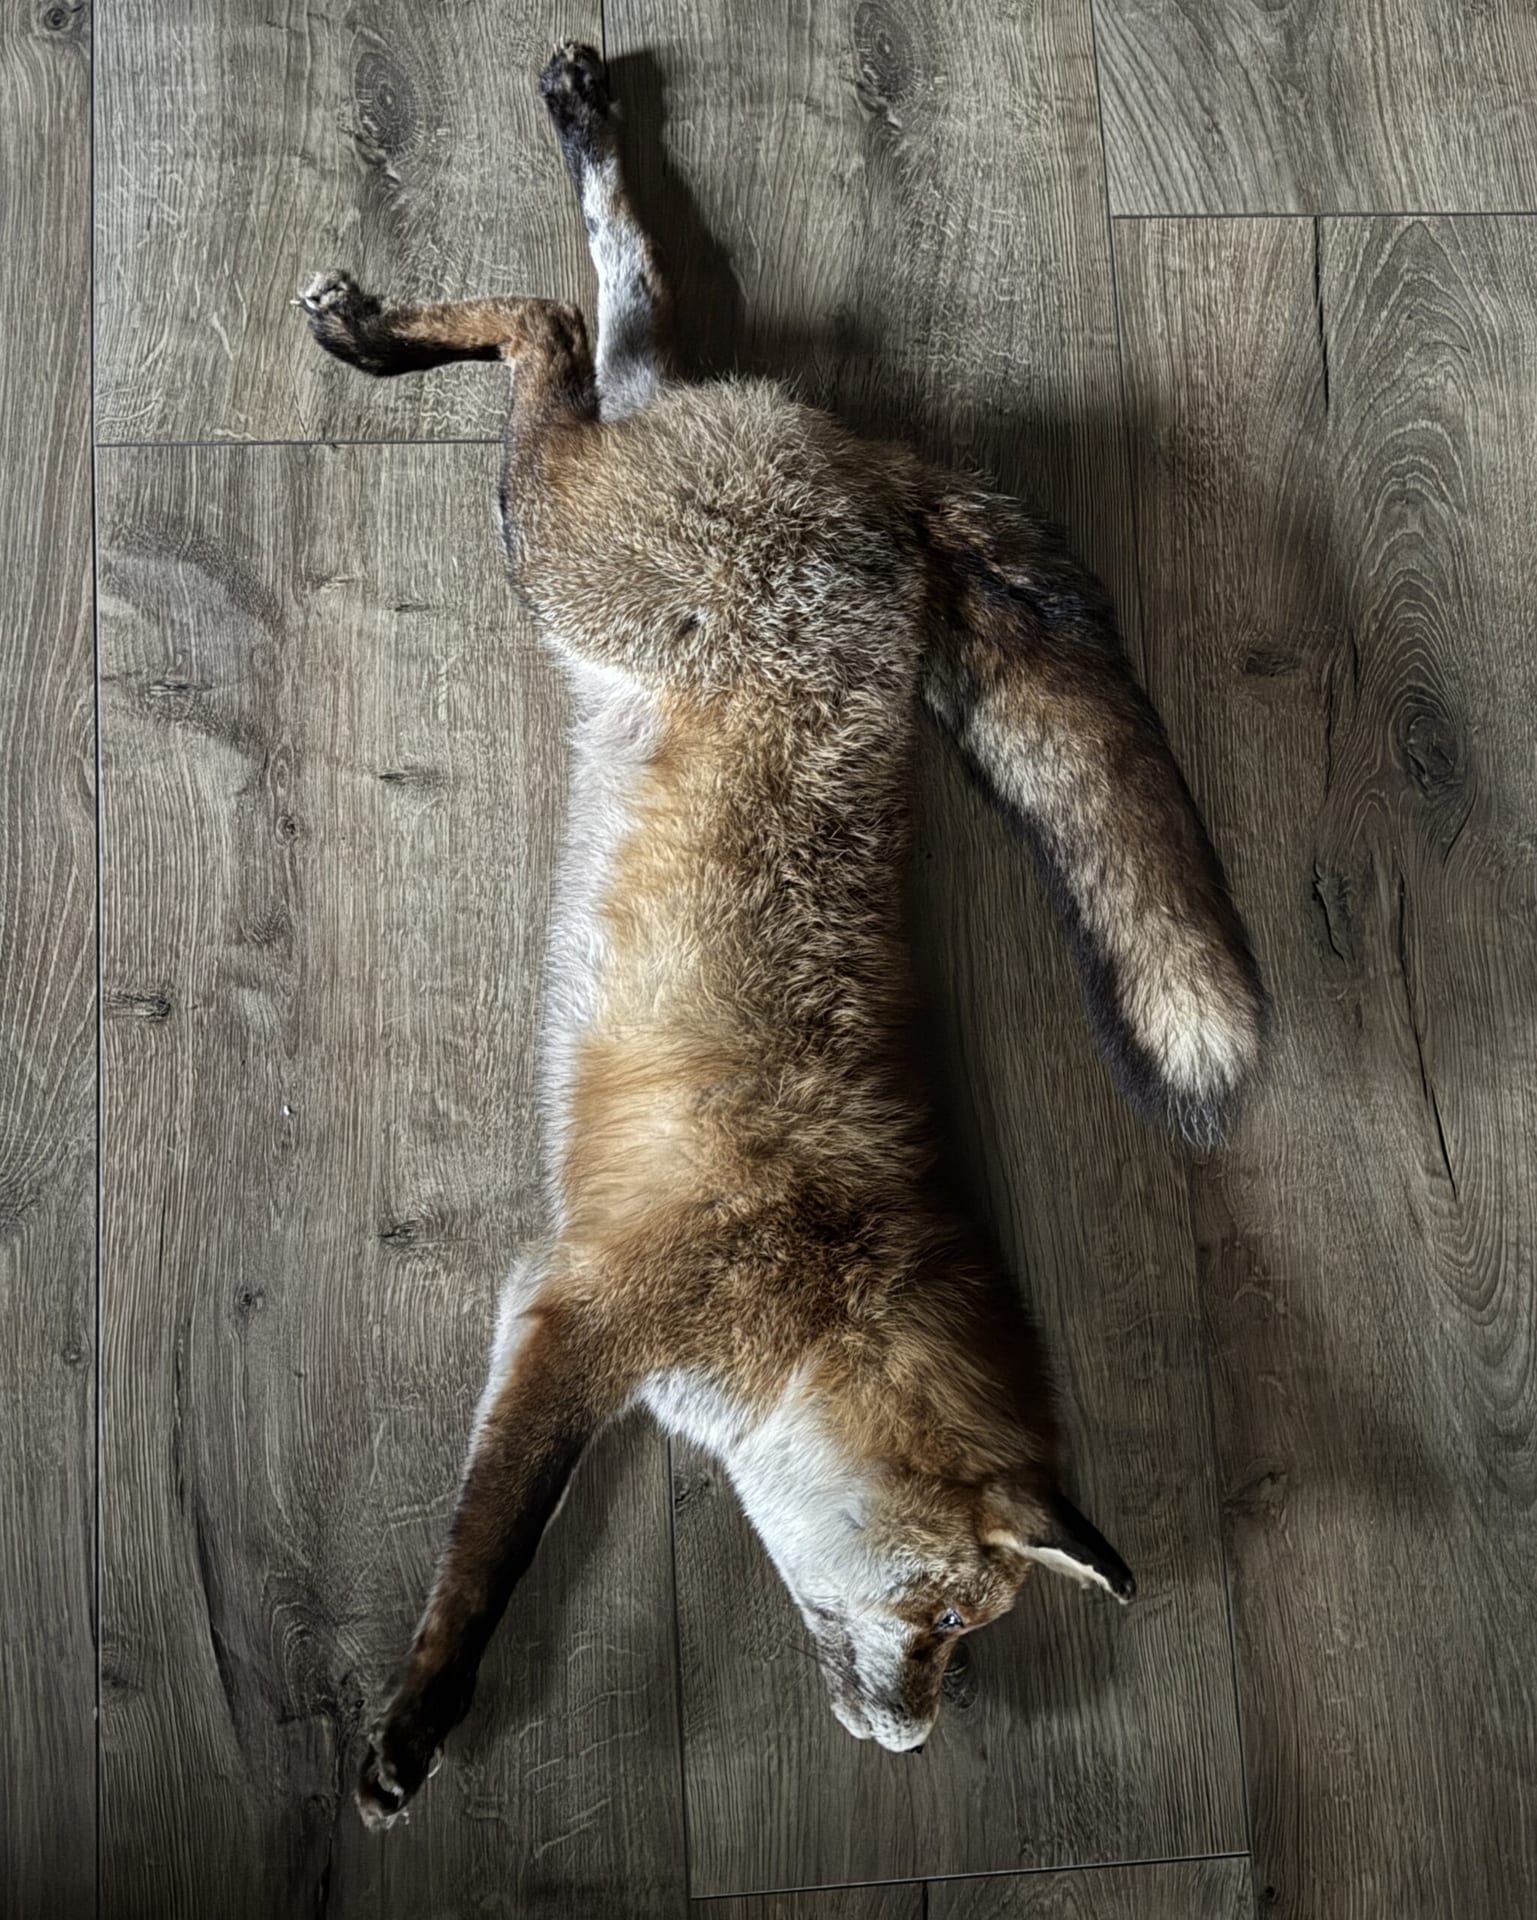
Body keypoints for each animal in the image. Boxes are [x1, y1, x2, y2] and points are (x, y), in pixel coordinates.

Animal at [298, 41, 1267, 1829]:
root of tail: (892, 480)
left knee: (625, 310)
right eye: (945, 1619)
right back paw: (381, 331)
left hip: (601, 509)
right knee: (550, 324)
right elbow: (490, 1561)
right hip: (561, 542)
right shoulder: (577, 1317)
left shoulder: (570, 1324)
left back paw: (577, 132)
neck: (817, 1289)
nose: (923, 1740)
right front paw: (419, 1717)